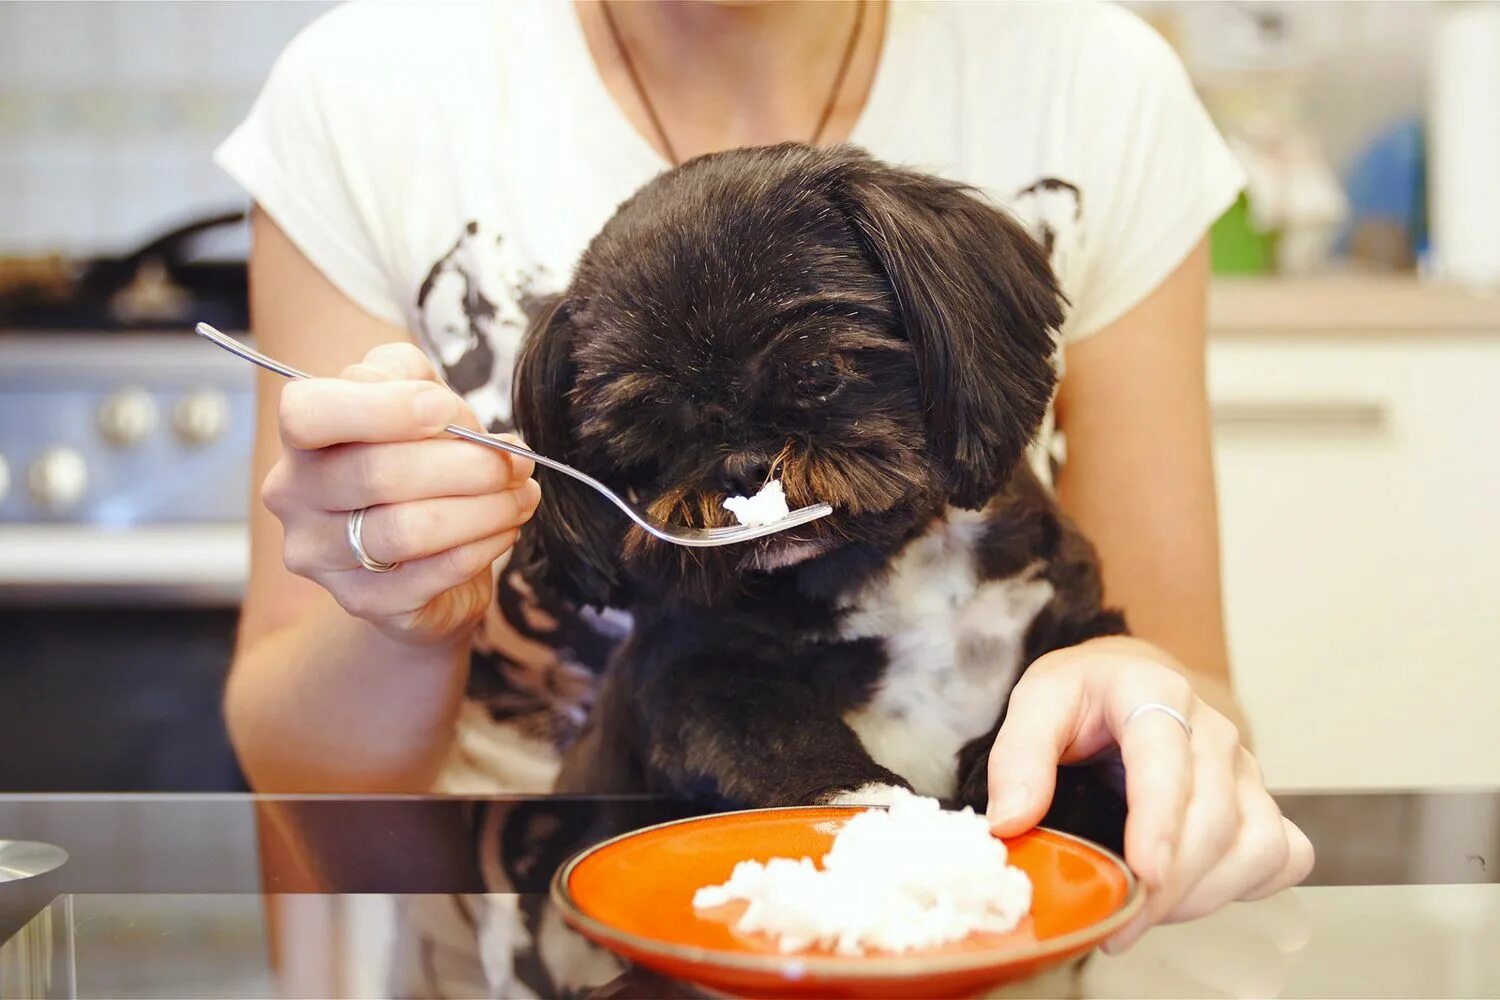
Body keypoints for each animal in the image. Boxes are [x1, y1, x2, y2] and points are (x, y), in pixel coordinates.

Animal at [513, 142, 1128, 851]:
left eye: (815, 370)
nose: (744, 468)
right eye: (650, 435)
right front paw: (884, 810)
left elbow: (1064, 708)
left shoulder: (1067, 610)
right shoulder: (691, 671)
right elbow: (784, 741)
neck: (883, 565)